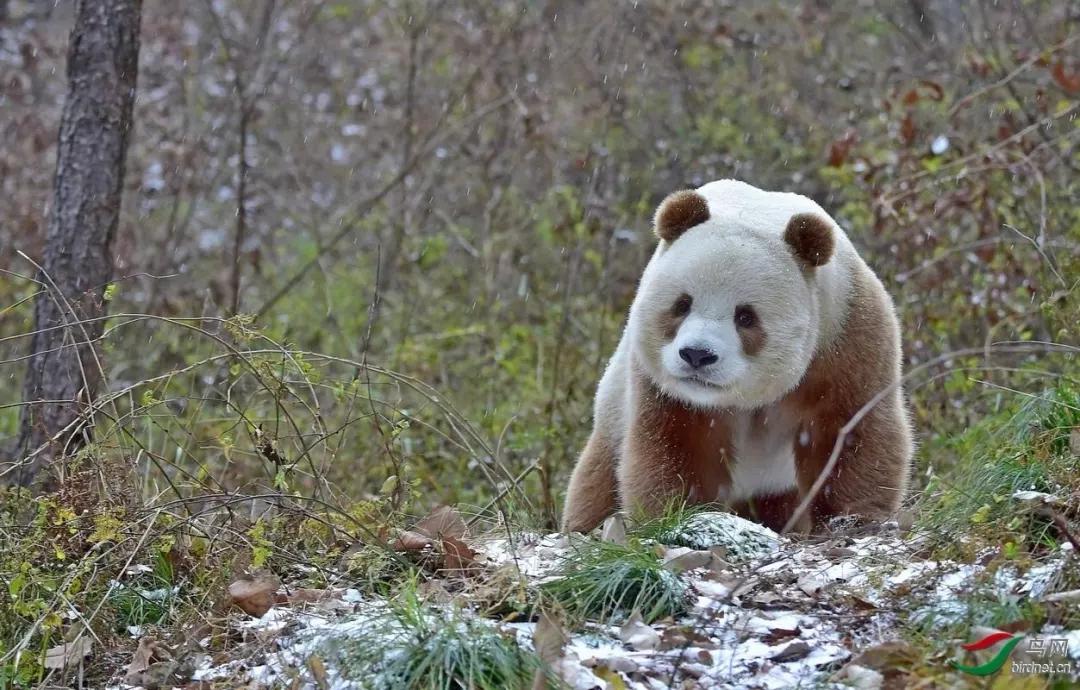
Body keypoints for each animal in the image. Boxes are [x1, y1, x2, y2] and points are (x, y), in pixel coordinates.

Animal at [565, 179, 911, 535]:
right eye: (682, 304)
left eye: (745, 317)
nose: (697, 355)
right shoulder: (664, 386)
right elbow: (676, 446)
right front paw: (678, 516)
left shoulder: (846, 338)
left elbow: (850, 433)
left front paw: (850, 519)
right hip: (612, 415)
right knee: (598, 482)